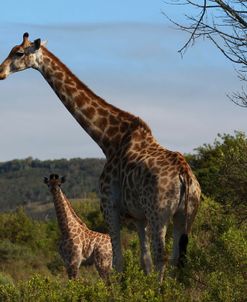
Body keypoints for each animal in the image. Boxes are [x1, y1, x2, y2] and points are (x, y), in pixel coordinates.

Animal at [0, 33, 201, 284]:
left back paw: (161, 289)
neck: (107, 140)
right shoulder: (138, 216)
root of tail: (186, 175)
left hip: (160, 212)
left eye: (18, 53)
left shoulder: (109, 205)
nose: (1, 72)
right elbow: (143, 260)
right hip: (187, 214)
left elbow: (119, 262)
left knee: (161, 255)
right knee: (177, 257)